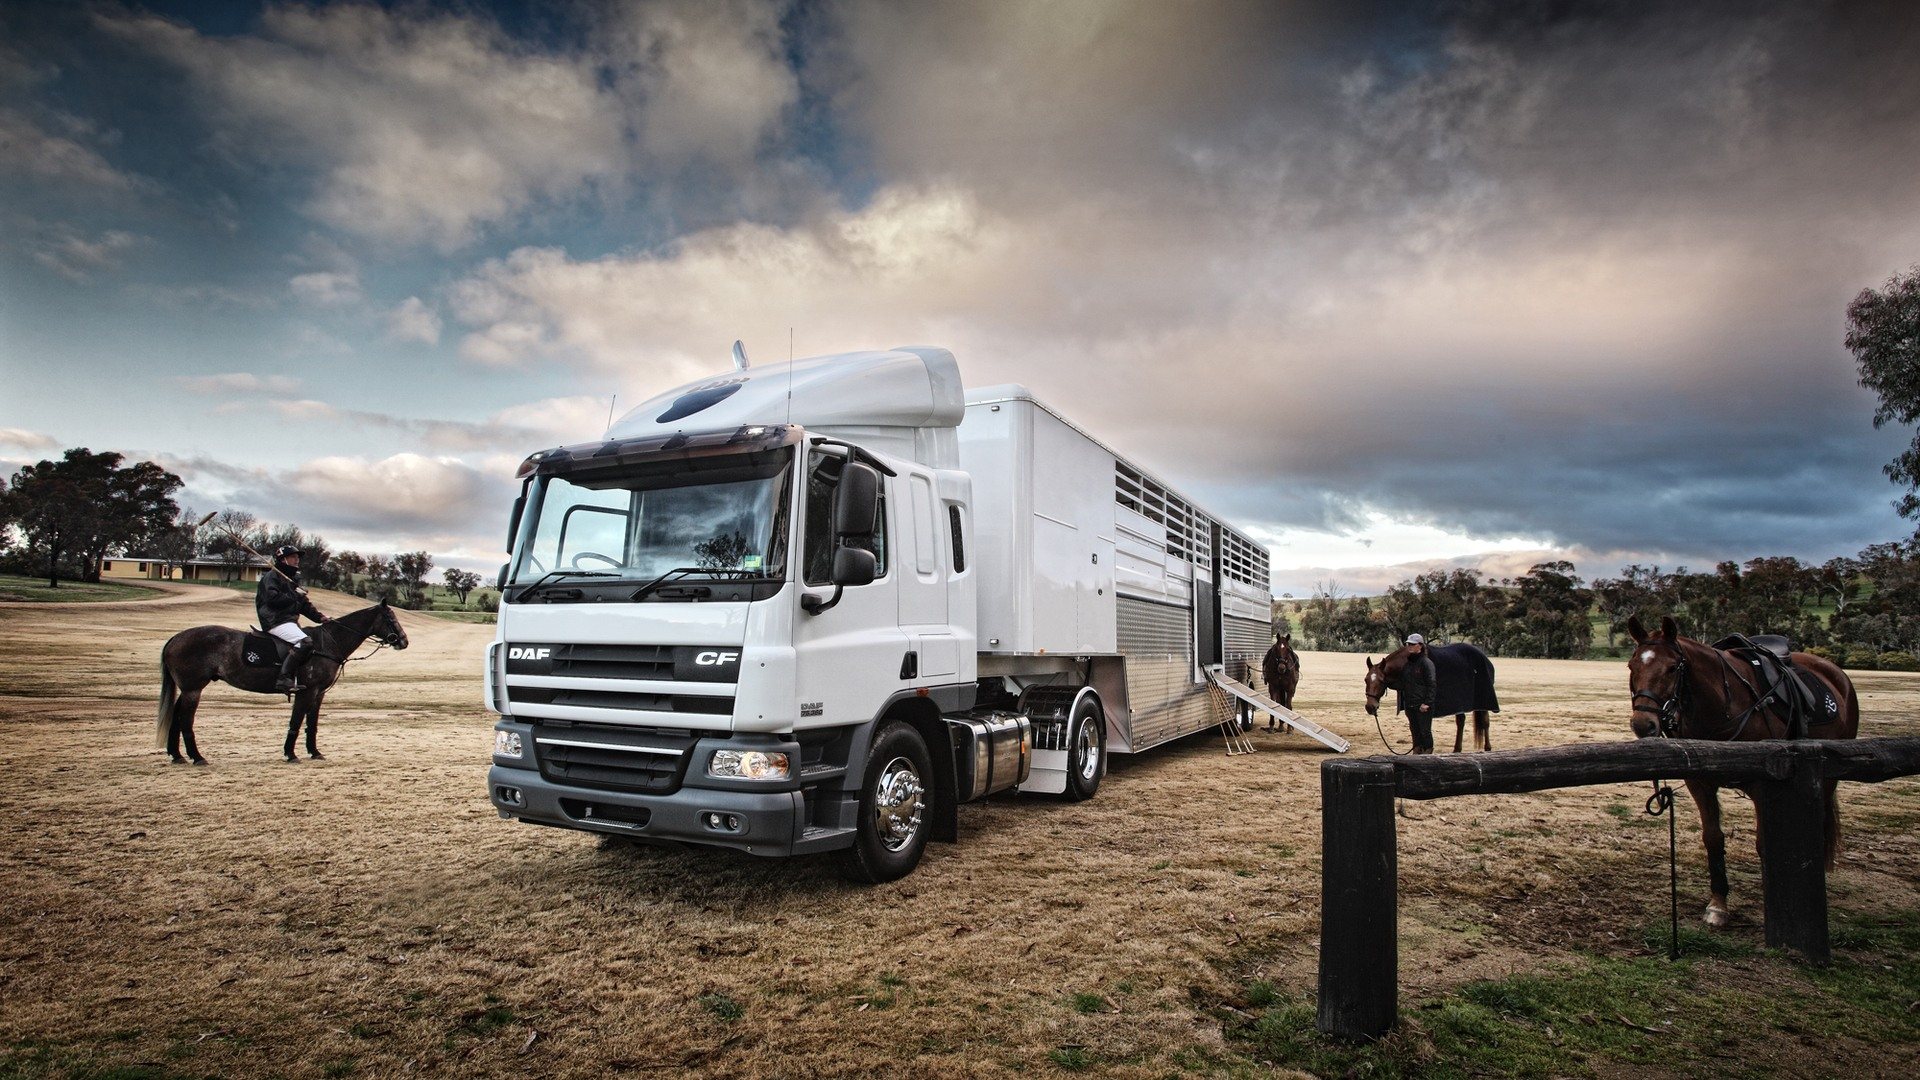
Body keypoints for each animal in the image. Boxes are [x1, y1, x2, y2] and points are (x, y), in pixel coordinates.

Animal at [157, 595, 408, 764]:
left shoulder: (319, 693)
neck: (328, 643)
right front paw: (290, 753)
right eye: (390, 618)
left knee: (177, 715)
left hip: (188, 688)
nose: (404, 641)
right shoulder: (307, 690)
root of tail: (174, 639)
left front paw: (315, 752)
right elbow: (296, 721)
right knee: (186, 719)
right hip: (193, 688)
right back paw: (197, 757)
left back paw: (177, 755)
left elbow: (312, 723)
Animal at [1367, 638, 1497, 749]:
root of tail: (1485, 658)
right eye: (1365, 680)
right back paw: (1457, 749)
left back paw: (1487, 748)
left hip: (1483, 700)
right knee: (1461, 721)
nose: (1370, 707)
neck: (1409, 661)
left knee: (1485, 721)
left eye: (1381, 681)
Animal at [1620, 614, 1858, 926]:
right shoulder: (1700, 781)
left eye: (1672, 668)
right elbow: (1713, 838)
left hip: (1828, 772)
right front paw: (1718, 905)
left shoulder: (1763, 780)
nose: (1643, 724)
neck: (1722, 706)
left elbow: (1764, 845)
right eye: (1632, 666)